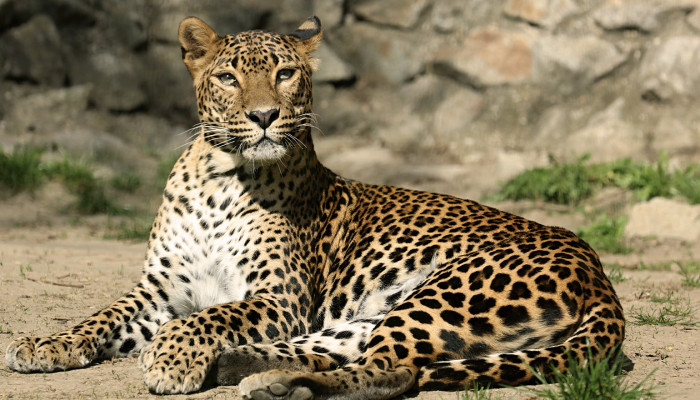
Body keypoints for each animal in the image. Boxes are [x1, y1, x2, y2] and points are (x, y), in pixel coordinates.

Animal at [5, 16, 625, 400]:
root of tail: (596, 268)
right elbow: (100, 315)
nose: (262, 116)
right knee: (339, 353)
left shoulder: (278, 298)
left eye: (284, 74)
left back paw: (265, 381)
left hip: (447, 292)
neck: (218, 181)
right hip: (374, 314)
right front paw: (45, 344)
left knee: (394, 371)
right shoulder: (158, 289)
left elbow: (208, 316)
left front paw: (171, 358)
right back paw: (248, 368)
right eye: (228, 77)